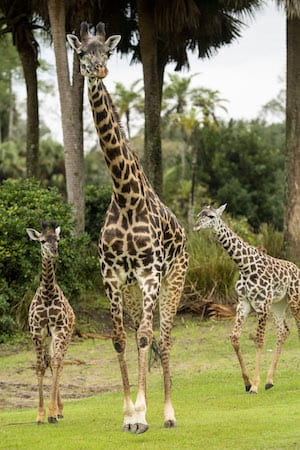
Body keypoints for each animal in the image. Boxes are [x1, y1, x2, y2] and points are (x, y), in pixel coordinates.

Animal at [67, 22, 188, 434]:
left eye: (107, 51)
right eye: (82, 53)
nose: (99, 70)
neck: (125, 195)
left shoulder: (150, 273)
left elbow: (148, 337)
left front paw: (144, 414)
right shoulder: (113, 275)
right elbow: (121, 338)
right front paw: (129, 414)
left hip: (174, 278)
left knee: (163, 337)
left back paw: (167, 413)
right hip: (136, 288)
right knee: (140, 335)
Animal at [193, 204, 300, 394]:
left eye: (211, 216)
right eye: (199, 215)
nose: (196, 226)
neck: (245, 266)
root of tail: (297, 269)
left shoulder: (262, 305)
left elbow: (259, 341)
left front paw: (255, 385)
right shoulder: (244, 304)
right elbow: (234, 337)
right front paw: (248, 382)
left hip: (294, 300)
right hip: (278, 305)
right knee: (284, 331)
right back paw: (270, 381)